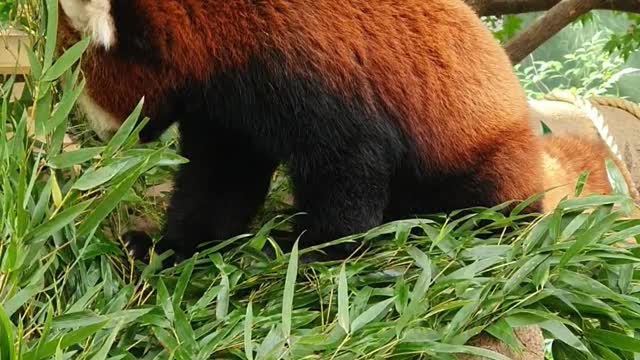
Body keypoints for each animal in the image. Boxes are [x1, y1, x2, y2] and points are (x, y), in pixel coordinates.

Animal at [57, 0, 544, 260]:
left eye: (80, 87)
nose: (100, 137)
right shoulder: (225, 111)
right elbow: (219, 180)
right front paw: (170, 246)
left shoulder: (303, 63)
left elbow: (350, 159)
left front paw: (312, 245)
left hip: (482, 158)